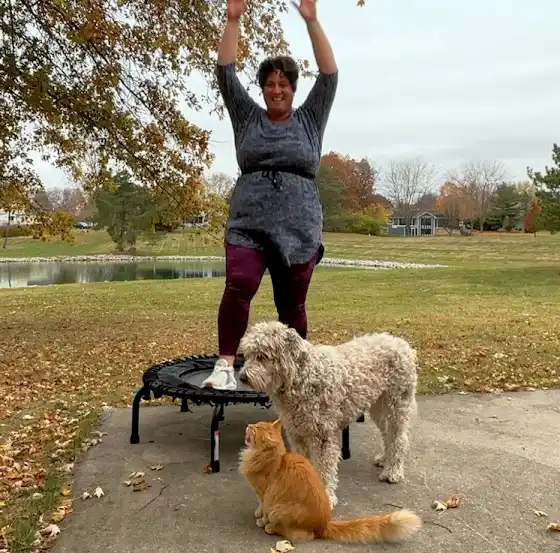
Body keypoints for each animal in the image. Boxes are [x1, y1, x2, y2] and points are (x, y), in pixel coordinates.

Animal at [238, 419, 422, 544]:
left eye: (255, 429)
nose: (248, 425)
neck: (272, 457)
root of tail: (324, 524)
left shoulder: (265, 494)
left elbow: (263, 509)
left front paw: (260, 520)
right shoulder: (260, 494)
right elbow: (259, 506)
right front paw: (257, 513)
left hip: (279, 510)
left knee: (300, 534)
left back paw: (270, 527)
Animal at [239, 321, 418, 508]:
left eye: (262, 356)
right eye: (247, 355)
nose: (242, 377)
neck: (302, 377)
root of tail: (403, 344)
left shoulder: (322, 436)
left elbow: (324, 469)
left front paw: (326, 495)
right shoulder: (296, 434)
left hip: (396, 406)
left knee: (399, 439)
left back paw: (393, 471)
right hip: (379, 407)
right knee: (387, 435)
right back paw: (384, 458)